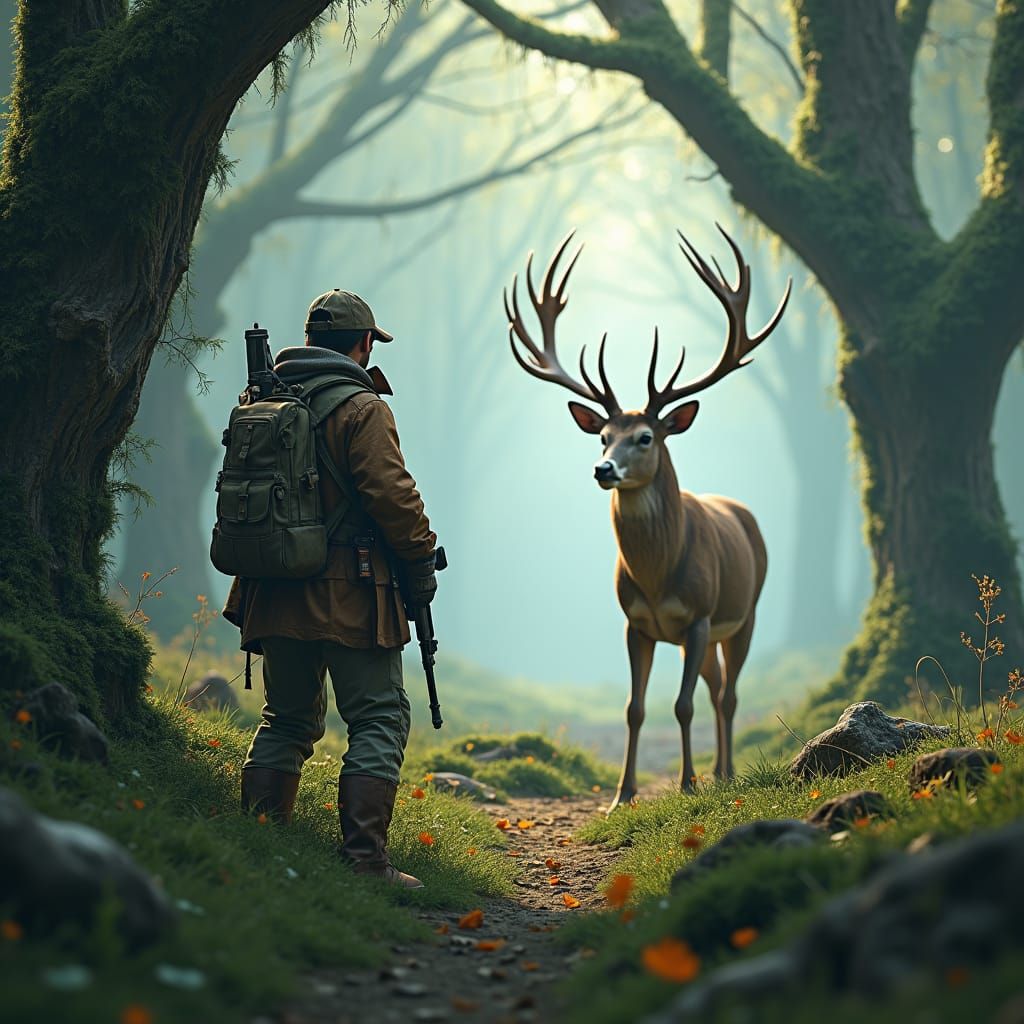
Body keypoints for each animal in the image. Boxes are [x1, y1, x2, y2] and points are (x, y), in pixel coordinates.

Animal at [503, 225, 790, 812]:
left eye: (644, 437)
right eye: (601, 435)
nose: (603, 469)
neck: (658, 579)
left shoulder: (699, 615)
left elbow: (681, 705)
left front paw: (686, 784)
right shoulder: (636, 621)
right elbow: (634, 708)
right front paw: (623, 794)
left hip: (745, 611)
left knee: (728, 694)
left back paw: (725, 772)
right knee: (715, 686)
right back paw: (720, 771)